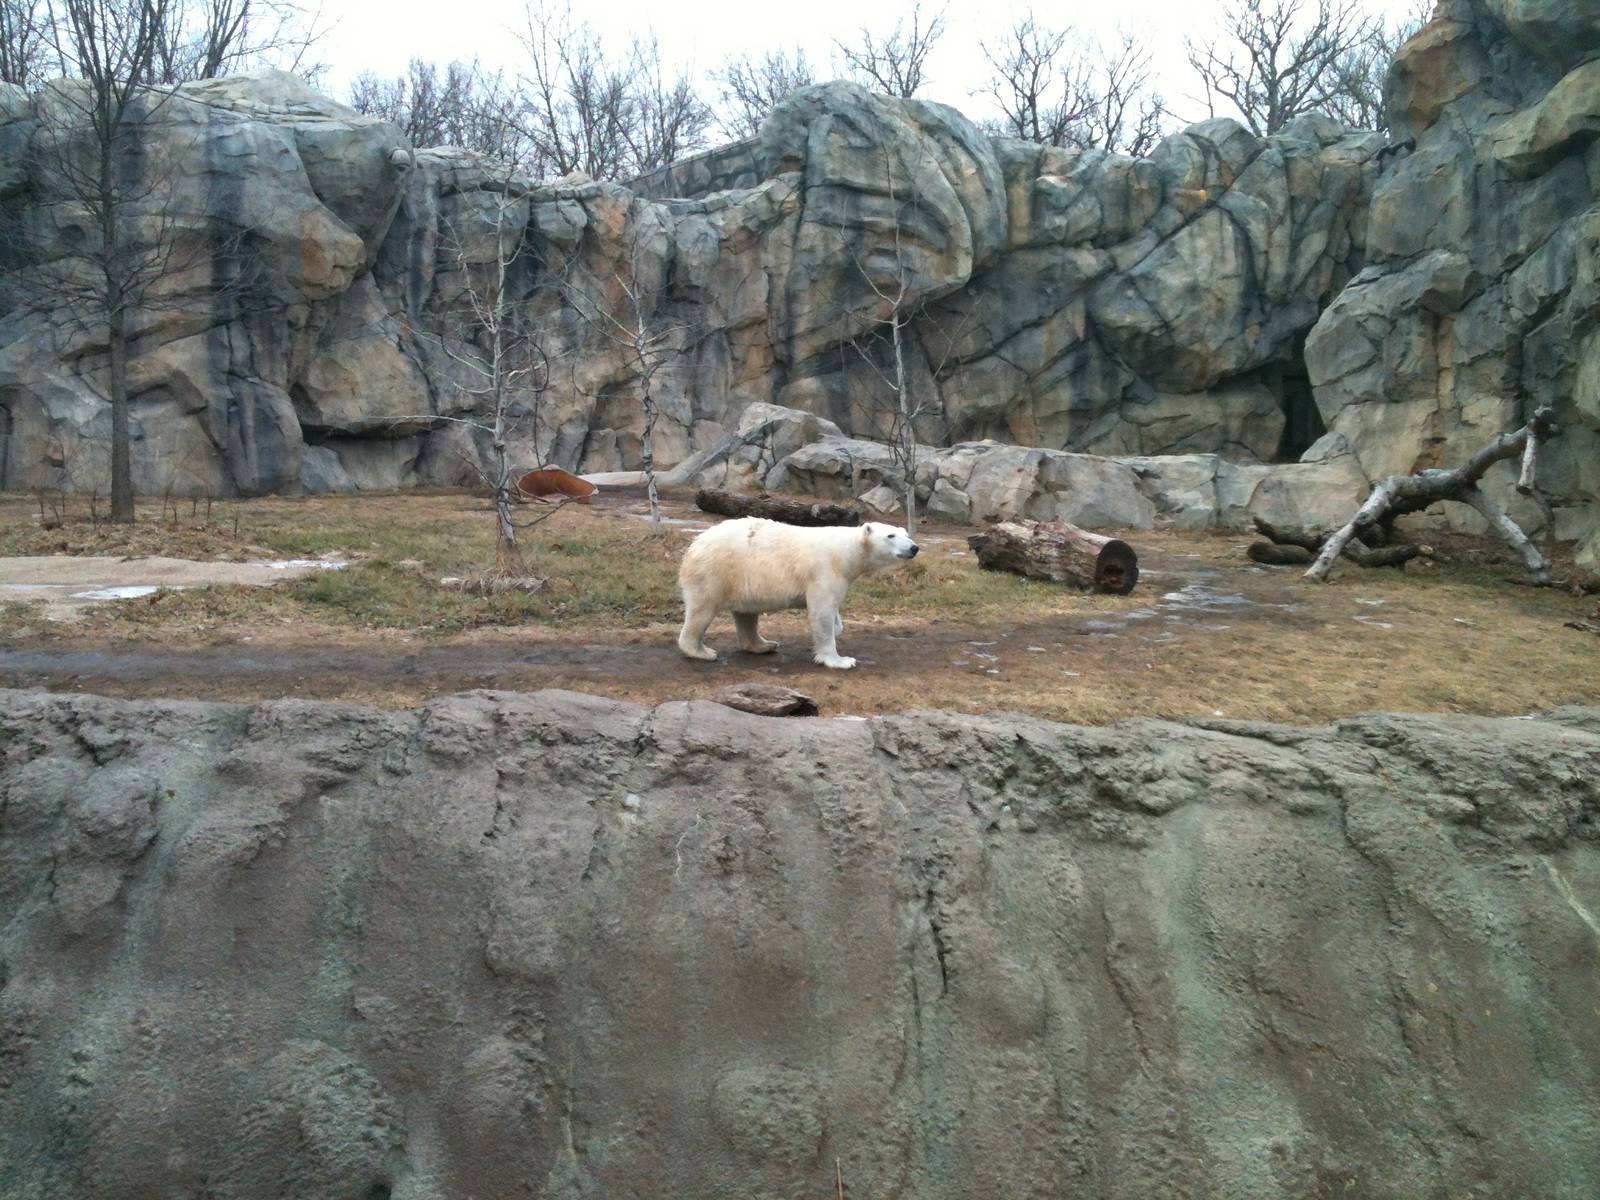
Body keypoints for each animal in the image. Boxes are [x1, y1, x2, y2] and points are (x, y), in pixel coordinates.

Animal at [677, 518, 920, 669]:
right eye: (890, 535)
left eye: (906, 533)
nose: (914, 547)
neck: (846, 552)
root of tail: (694, 544)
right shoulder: (824, 571)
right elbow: (821, 613)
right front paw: (840, 660)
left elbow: (833, 612)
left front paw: (838, 628)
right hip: (715, 571)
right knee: (702, 610)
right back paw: (701, 651)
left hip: (743, 579)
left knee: (747, 614)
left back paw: (764, 645)